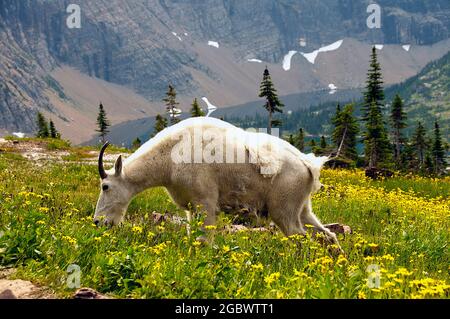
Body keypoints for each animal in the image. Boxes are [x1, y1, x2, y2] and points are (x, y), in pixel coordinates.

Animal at [95, 117, 342, 250]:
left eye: (105, 186)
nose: (98, 222)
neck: (168, 159)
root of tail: (308, 164)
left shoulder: (205, 202)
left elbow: (204, 239)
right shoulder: (191, 207)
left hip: (284, 209)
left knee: (300, 237)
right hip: (303, 207)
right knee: (326, 235)